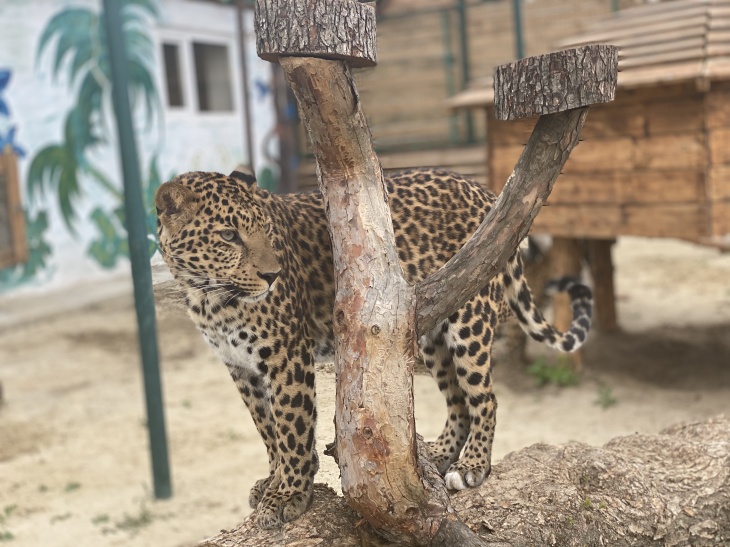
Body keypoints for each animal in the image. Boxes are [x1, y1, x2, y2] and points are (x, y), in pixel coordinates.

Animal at [155, 167, 592, 529]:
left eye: (264, 230)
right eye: (228, 236)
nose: (272, 275)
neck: (208, 296)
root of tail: (481, 191)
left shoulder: (286, 356)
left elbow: (292, 428)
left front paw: (288, 495)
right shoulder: (240, 367)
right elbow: (268, 430)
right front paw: (273, 480)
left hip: (469, 318)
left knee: (484, 398)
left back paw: (472, 465)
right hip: (426, 330)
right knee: (457, 400)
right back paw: (438, 454)